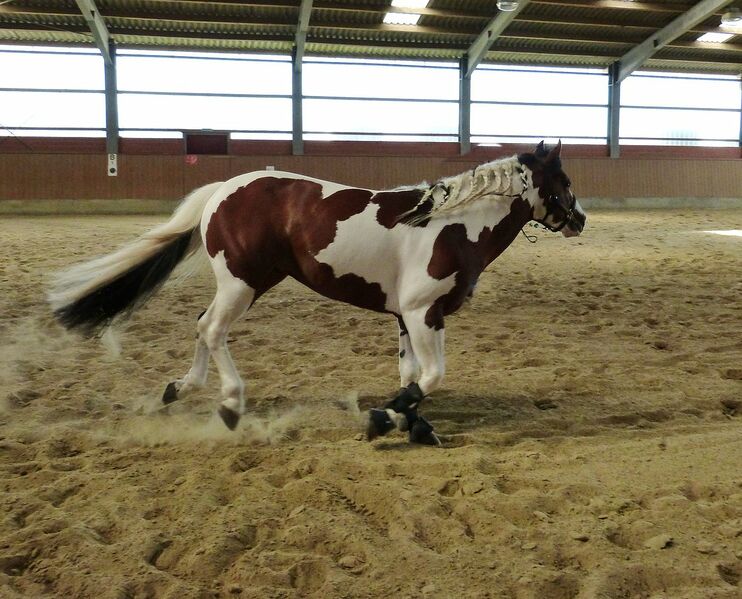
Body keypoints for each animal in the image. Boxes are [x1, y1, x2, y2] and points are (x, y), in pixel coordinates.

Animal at [49, 140, 586, 446]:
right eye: (563, 179)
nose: (579, 219)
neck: (452, 226)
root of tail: (224, 188)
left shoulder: (409, 318)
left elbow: (412, 377)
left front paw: (411, 423)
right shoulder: (422, 312)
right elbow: (431, 378)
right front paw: (383, 420)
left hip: (248, 282)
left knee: (202, 325)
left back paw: (180, 388)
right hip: (244, 283)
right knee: (213, 329)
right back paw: (229, 404)